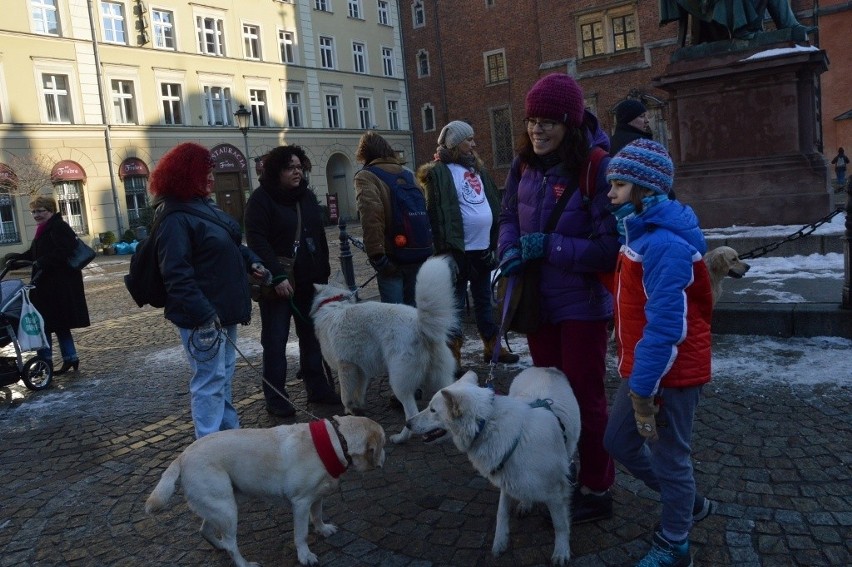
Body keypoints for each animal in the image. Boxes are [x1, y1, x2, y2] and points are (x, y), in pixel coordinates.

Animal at [312, 255, 460, 446]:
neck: (334, 304)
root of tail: (421, 326)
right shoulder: (361, 370)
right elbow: (359, 392)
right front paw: (357, 410)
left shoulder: (346, 366)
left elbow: (346, 396)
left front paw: (349, 410)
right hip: (441, 379)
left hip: (399, 383)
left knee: (411, 415)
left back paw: (400, 438)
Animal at [406, 366, 580, 564]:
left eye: (432, 410)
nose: (407, 423)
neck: (487, 425)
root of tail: (546, 368)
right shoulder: (506, 479)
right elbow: (501, 513)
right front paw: (500, 543)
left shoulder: (556, 492)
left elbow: (560, 524)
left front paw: (561, 551)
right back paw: (526, 503)